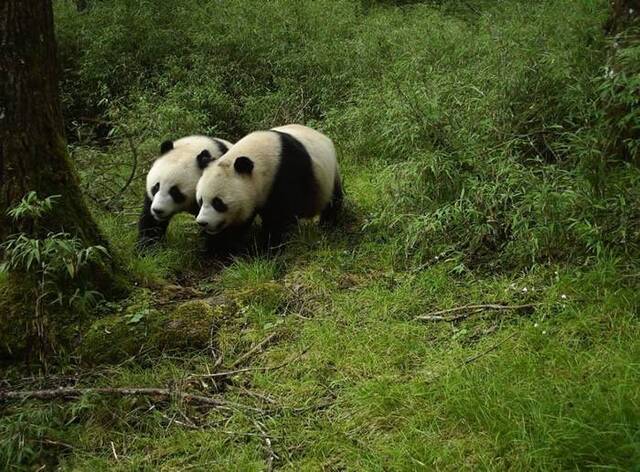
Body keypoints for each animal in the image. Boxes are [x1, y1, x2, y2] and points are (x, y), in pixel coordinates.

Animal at [195, 121, 342, 249]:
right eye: (201, 200)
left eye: (218, 203)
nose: (202, 222)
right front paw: (217, 247)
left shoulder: (288, 173)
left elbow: (279, 218)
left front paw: (268, 248)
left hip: (328, 176)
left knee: (332, 201)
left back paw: (328, 225)